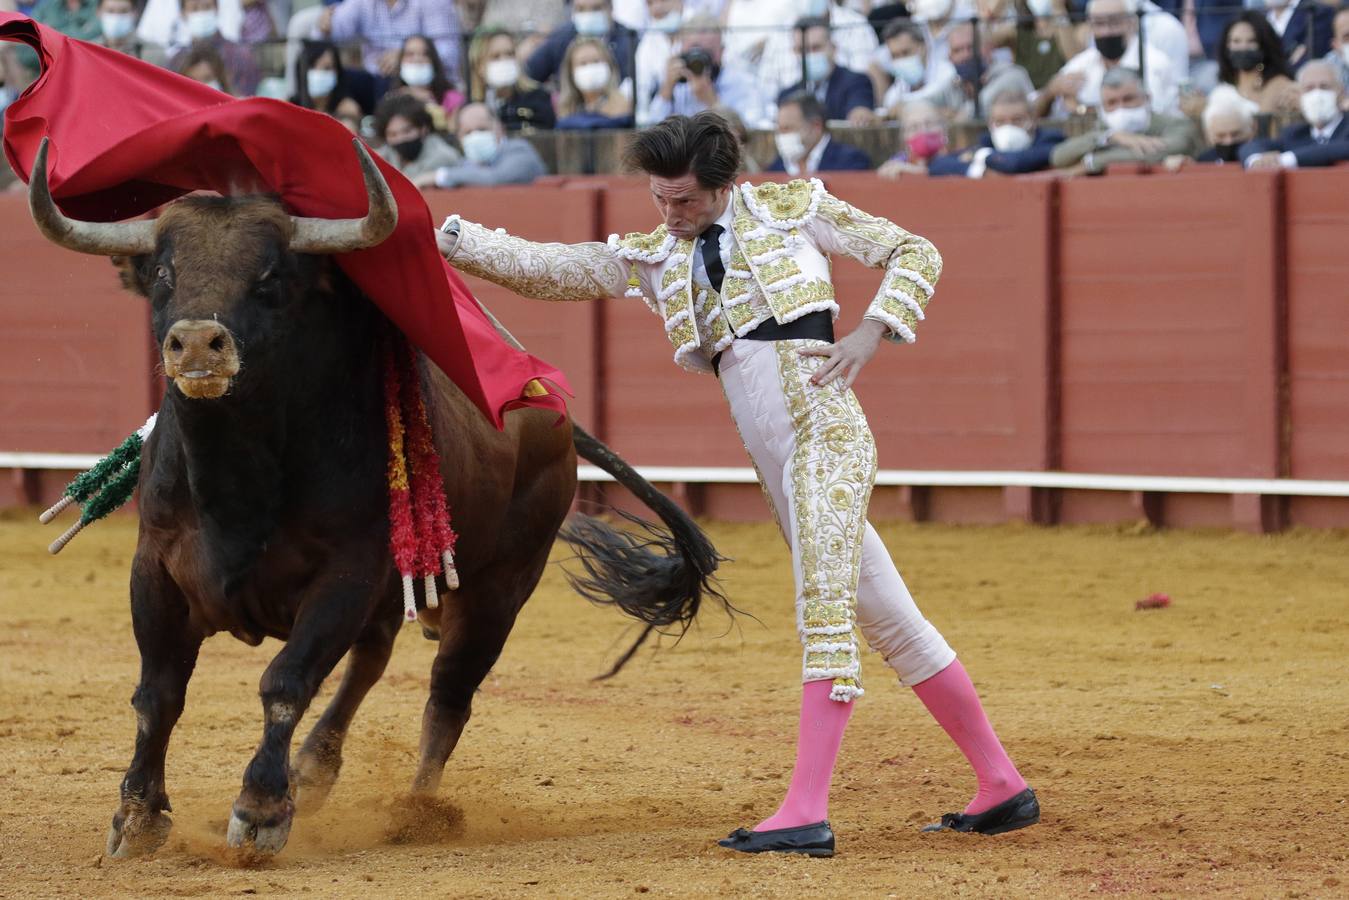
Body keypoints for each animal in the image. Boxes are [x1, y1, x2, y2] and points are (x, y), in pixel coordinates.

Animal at [26, 138, 723, 858]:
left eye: (270, 278)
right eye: (164, 273)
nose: (196, 343)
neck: (237, 475)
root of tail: (544, 399)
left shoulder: (348, 573)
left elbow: (286, 681)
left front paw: (261, 810)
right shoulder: (156, 568)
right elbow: (159, 692)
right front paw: (137, 814)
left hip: (500, 588)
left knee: (448, 694)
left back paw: (413, 811)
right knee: (373, 657)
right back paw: (315, 768)